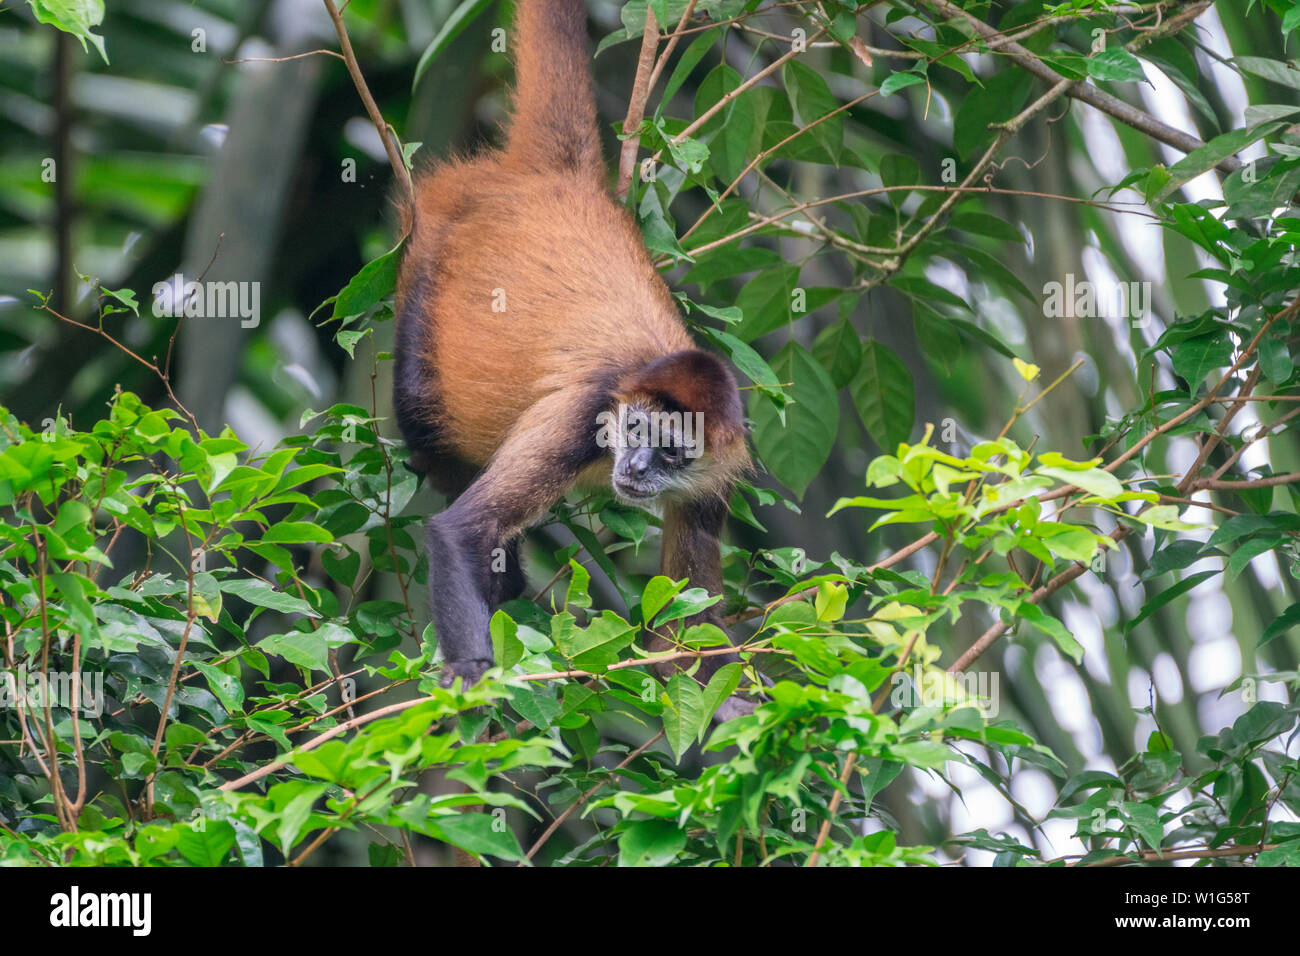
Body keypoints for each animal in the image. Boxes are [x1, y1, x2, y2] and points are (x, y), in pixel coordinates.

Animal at [392, 0, 755, 716]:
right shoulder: (582, 413)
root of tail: (557, 180)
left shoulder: (719, 467)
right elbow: (460, 531)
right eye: (636, 430)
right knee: (426, 411)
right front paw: (470, 675)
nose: (637, 468)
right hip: (433, 249)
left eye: (672, 452)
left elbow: (680, 635)